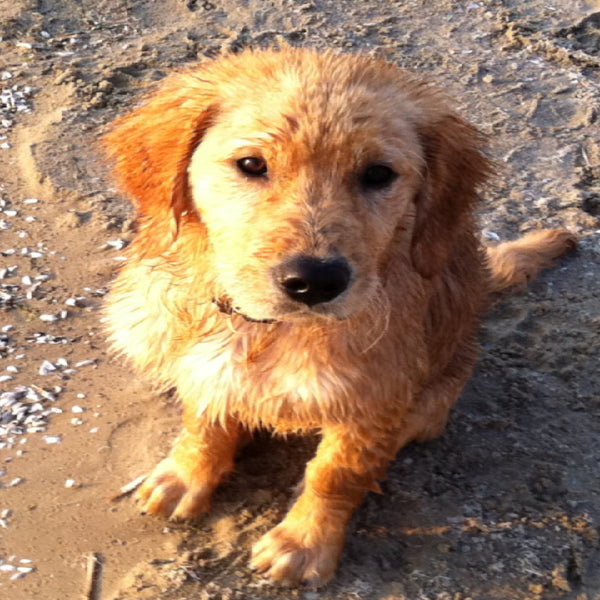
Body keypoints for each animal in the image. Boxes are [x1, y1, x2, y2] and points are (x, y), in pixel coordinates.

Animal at [104, 47, 576, 584]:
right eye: (251, 164)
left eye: (378, 174)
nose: (315, 281)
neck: (268, 332)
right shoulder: (203, 367)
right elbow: (204, 423)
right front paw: (186, 476)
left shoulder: (373, 398)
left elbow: (336, 473)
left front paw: (304, 542)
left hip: (434, 397)